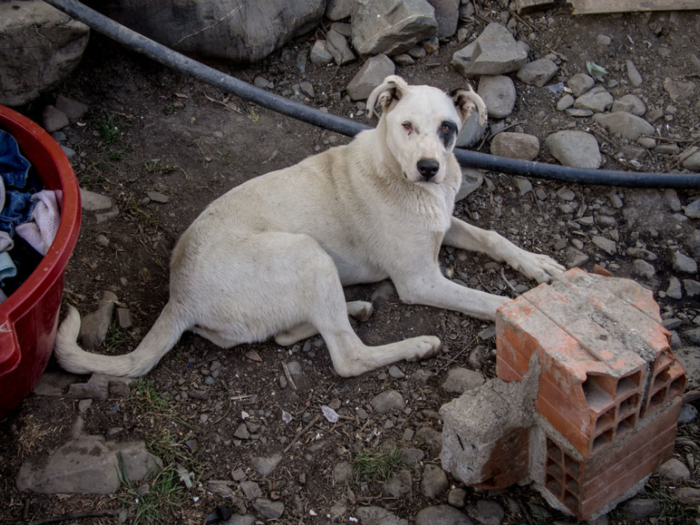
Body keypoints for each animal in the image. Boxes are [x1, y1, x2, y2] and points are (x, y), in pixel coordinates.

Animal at [57, 74, 568, 376]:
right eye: (405, 126)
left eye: (447, 128)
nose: (429, 168)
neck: (403, 178)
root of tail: (178, 297)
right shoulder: (420, 280)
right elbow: (488, 300)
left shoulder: (444, 225)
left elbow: (493, 236)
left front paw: (538, 266)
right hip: (307, 253)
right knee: (347, 356)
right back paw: (415, 344)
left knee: (290, 333)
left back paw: (355, 307)